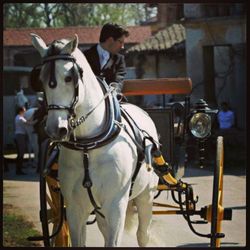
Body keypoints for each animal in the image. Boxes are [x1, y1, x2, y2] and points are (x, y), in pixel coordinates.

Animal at [31, 33, 159, 248]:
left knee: (143, 234)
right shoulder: (75, 208)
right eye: (41, 79)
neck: (88, 147)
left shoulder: (115, 206)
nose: (55, 129)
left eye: (69, 77)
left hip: (145, 195)